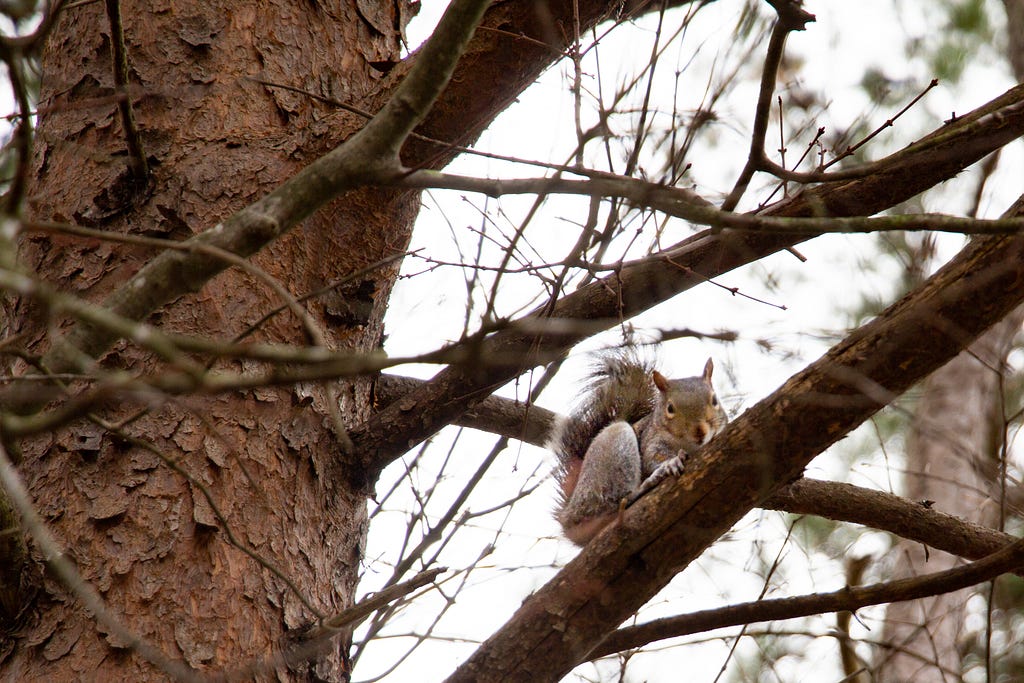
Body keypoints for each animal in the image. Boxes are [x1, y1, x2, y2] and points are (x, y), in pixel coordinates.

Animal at [550, 352, 728, 546]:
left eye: (715, 400)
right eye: (670, 408)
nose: (699, 431)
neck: (690, 444)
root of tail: (569, 516)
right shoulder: (652, 439)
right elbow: (652, 456)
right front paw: (670, 463)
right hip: (612, 458)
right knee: (612, 505)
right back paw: (647, 485)